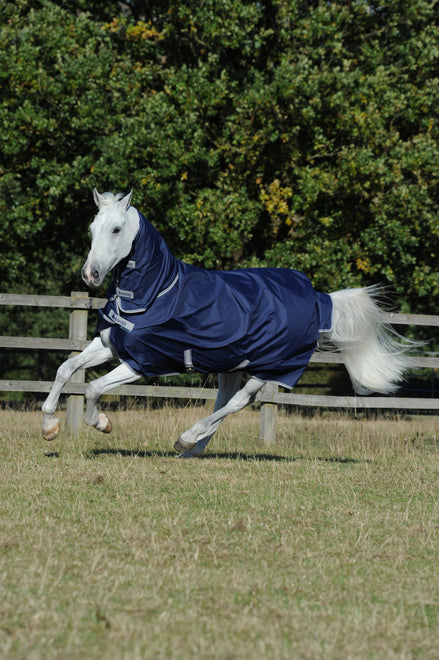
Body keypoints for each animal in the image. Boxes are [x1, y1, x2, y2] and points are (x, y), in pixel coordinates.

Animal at [42, 189, 412, 457]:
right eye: (92, 228)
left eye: (116, 229)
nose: (90, 274)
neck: (157, 291)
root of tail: (321, 299)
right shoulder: (111, 345)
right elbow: (65, 368)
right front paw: (49, 427)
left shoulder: (142, 363)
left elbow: (92, 388)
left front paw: (101, 423)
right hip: (232, 365)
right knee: (224, 402)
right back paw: (190, 449)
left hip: (270, 367)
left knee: (238, 403)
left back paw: (187, 438)